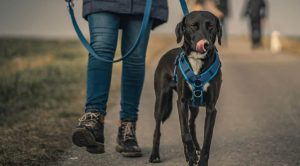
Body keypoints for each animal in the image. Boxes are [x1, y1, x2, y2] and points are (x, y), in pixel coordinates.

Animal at [149, 11, 221, 165]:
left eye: (211, 26)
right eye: (193, 26)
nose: (205, 44)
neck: (197, 61)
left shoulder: (211, 108)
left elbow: (207, 139)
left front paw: (200, 159)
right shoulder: (181, 102)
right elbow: (184, 133)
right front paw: (192, 156)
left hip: (194, 107)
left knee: (191, 123)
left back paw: (194, 149)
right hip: (161, 101)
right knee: (158, 128)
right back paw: (155, 155)